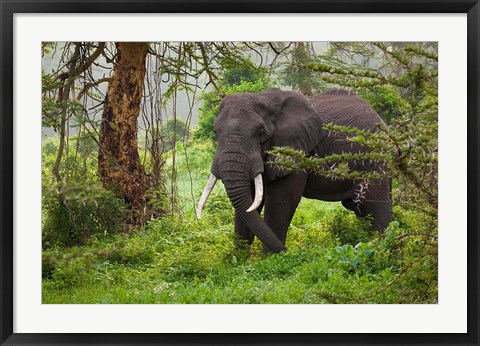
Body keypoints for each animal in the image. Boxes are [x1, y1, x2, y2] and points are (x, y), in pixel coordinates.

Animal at [197, 88, 392, 253]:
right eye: (216, 132)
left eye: (261, 133)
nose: (289, 252)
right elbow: (248, 200)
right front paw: (240, 260)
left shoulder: (296, 151)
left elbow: (281, 201)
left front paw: (271, 260)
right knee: (361, 210)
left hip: (374, 160)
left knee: (376, 206)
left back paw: (381, 246)